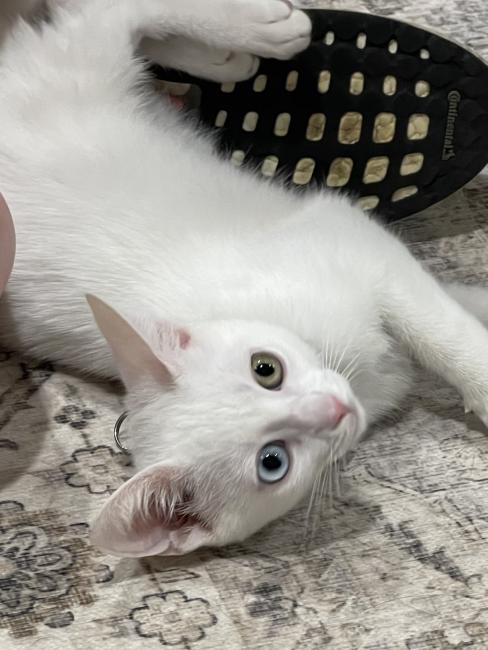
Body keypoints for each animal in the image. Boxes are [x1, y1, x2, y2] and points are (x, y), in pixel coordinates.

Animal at [0, 0, 488, 556]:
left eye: (265, 368)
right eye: (273, 462)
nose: (333, 409)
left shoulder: (354, 241)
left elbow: (447, 333)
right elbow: (451, 310)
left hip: (86, 64)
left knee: (112, 14)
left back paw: (255, 34)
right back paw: (227, 57)